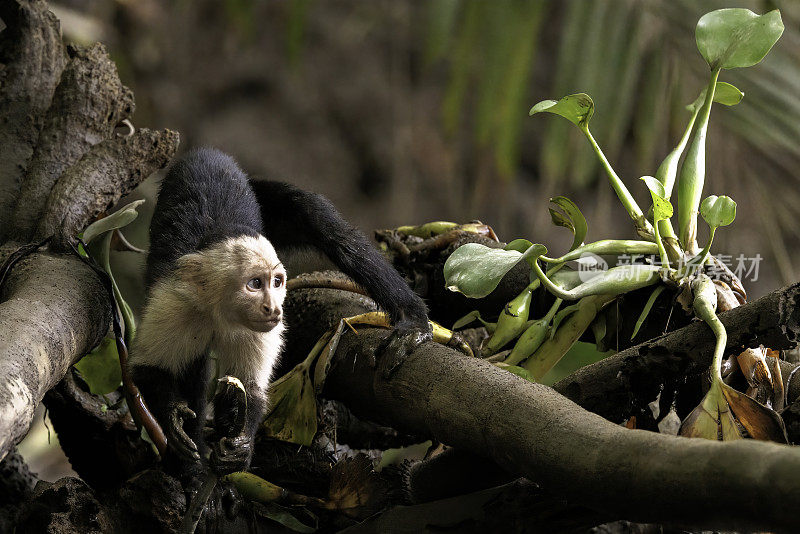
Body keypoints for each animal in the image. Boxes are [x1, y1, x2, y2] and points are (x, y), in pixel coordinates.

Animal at [130, 149, 432, 480]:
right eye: (254, 284)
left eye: (276, 282)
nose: (273, 308)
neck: (219, 309)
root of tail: (208, 152)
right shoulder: (174, 304)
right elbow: (147, 369)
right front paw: (175, 421)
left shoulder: (260, 328)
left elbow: (249, 387)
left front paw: (239, 447)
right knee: (194, 365)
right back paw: (188, 469)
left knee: (323, 223)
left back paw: (412, 318)